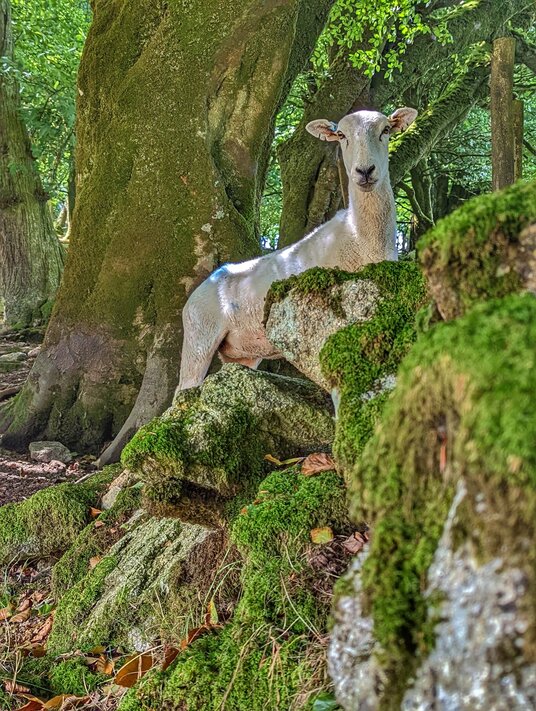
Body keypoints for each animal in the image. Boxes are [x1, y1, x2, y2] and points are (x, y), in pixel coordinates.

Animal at [177, 106, 418, 392]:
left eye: (386, 130)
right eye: (341, 135)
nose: (365, 171)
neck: (360, 238)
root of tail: (198, 291)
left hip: (242, 352)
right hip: (200, 336)